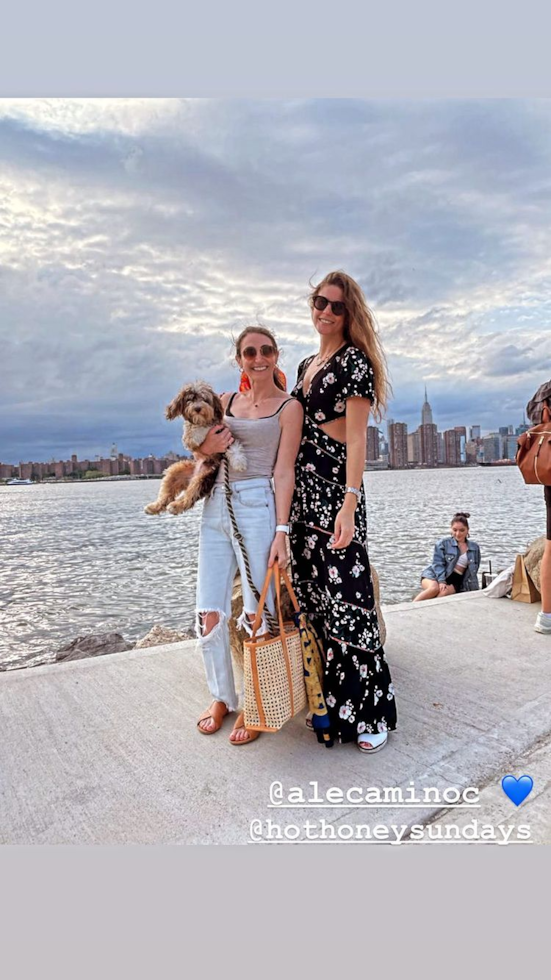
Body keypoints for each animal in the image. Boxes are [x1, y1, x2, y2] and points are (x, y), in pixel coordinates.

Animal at [144, 380, 246, 516]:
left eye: (204, 399)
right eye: (190, 400)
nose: (197, 408)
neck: (203, 420)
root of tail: (192, 476)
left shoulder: (226, 434)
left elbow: (234, 447)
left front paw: (240, 463)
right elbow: (193, 429)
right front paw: (194, 435)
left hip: (202, 478)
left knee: (189, 495)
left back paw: (174, 506)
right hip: (176, 471)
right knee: (168, 493)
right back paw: (155, 507)